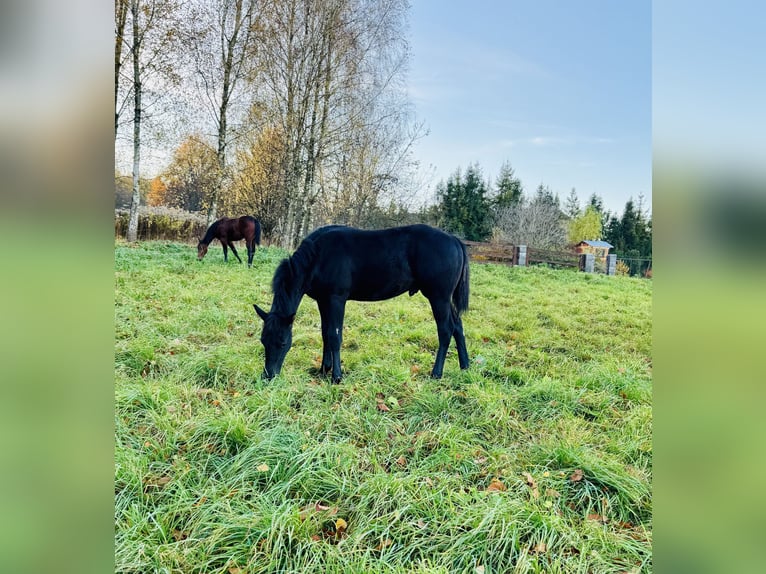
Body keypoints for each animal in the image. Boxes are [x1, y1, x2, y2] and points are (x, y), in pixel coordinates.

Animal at [253, 224, 470, 383]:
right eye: (263, 340)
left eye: (282, 342)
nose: (268, 376)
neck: (318, 256)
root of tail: (454, 240)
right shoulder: (323, 301)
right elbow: (325, 334)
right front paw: (324, 369)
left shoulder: (336, 300)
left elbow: (334, 336)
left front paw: (336, 376)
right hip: (445, 299)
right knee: (458, 326)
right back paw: (465, 366)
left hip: (439, 297)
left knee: (445, 330)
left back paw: (437, 373)